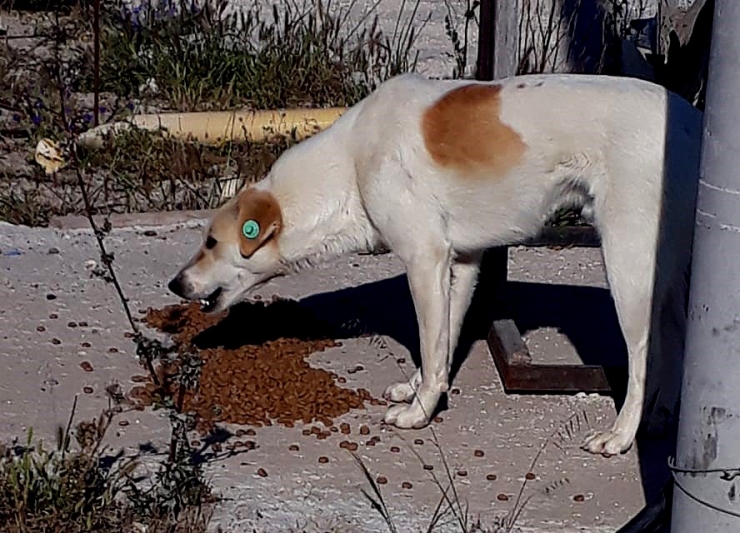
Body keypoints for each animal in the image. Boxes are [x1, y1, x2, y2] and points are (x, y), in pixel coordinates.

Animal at [171, 72, 704, 458]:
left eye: (211, 242)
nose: (175, 284)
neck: (349, 166)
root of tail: (694, 121)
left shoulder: (424, 261)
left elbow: (430, 345)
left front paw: (420, 413)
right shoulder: (463, 263)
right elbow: (443, 344)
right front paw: (419, 390)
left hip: (627, 268)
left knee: (642, 359)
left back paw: (622, 435)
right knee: (676, 341)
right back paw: (661, 418)